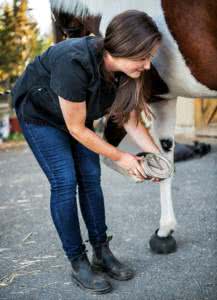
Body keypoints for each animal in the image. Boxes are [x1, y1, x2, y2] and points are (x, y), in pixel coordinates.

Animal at [49, 0, 217, 254]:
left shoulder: (130, 101)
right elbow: (164, 157)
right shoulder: (163, 98)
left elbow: (109, 154)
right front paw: (165, 231)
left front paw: (138, 171)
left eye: (68, 30)